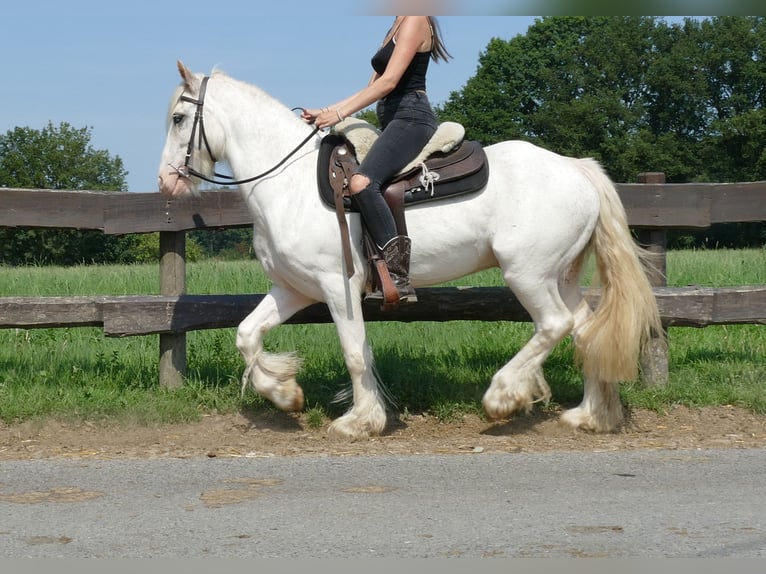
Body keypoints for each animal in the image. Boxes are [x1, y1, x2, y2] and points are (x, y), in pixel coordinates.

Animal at [158, 62, 664, 440]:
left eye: (179, 119)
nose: (166, 182)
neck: (289, 183)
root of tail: (577, 168)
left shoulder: (337, 286)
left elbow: (355, 352)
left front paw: (359, 422)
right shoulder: (293, 288)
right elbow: (247, 334)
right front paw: (285, 394)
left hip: (528, 273)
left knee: (554, 325)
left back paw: (502, 397)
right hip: (561, 275)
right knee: (585, 331)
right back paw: (590, 415)